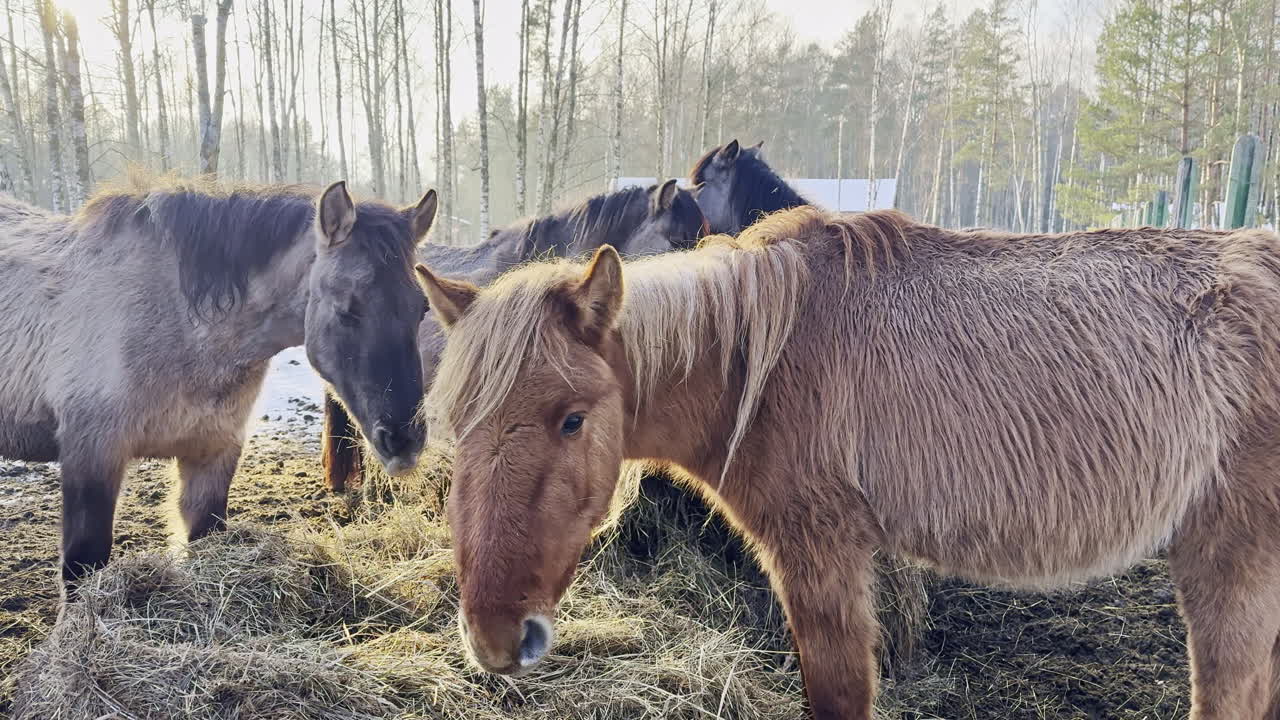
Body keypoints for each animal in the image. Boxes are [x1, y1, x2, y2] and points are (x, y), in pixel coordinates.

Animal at [0, 176, 436, 593]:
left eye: (421, 309)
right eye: (347, 309)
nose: (404, 440)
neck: (174, 323)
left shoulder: (213, 452)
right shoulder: (91, 454)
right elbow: (82, 565)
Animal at [417, 206, 1280, 719]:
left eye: (571, 420)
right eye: (454, 429)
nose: (494, 639)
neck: (761, 359)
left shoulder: (823, 560)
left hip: (1229, 564)